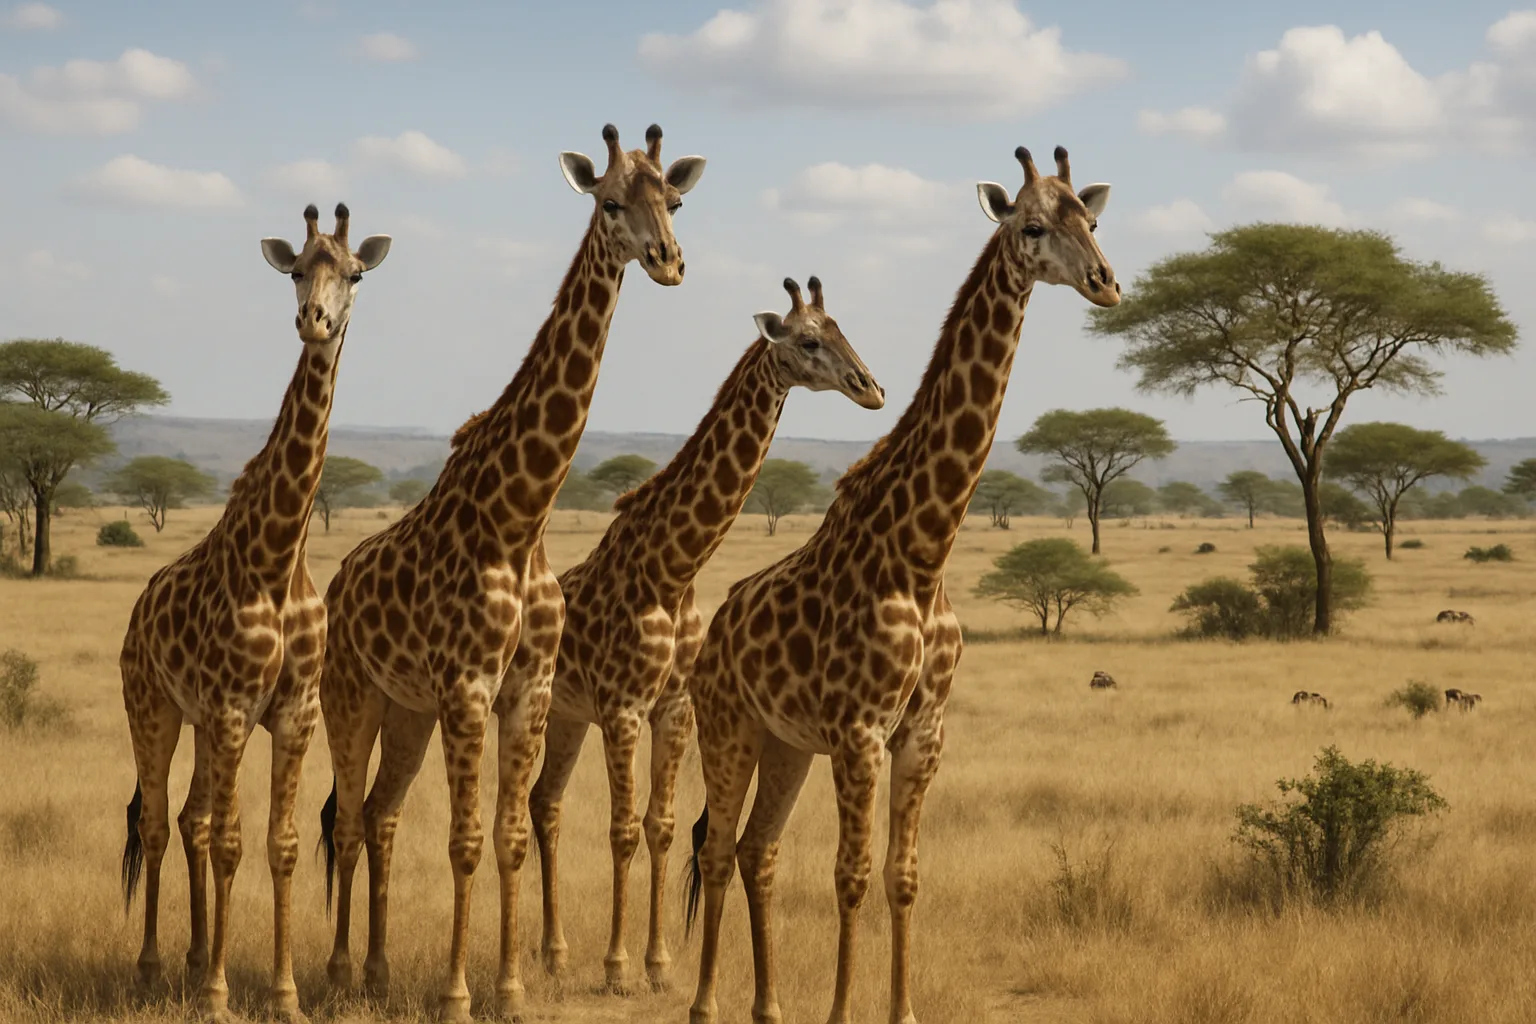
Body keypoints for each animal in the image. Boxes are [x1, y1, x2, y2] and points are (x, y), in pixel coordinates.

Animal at [118, 203, 391, 1023]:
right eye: (297, 269)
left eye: (355, 274)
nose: (314, 321)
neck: (276, 557)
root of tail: (138, 610)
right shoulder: (235, 707)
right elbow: (233, 842)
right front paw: (215, 995)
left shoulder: (294, 711)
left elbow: (281, 844)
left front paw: (283, 991)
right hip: (153, 705)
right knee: (159, 822)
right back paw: (152, 970)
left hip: (201, 720)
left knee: (190, 819)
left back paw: (191, 956)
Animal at [315, 123, 706, 1022]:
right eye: (610, 202)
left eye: (673, 200)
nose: (668, 262)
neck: (519, 518)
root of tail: (338, 583)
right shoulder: (468, 684)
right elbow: (464, 839)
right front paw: (459, 993)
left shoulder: (525, 687)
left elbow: (511, 833)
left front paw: (514, 984)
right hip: (350, 694)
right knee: (347, 818)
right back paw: (340, 972)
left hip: (407, 707)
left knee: (381, 814)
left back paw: (379, 972)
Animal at [521, 275, 885, 993]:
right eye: (808, 341)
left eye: (843, 329)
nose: (871, 387)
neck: (673, 570)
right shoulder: (624, 706)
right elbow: (622, 828)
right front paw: (617, 967)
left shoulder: (675, 706)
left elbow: (659, 826)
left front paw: (659, 964)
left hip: (569, 715)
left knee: (546, 803)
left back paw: (555, 951)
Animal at [682, 144, 1120, 1024]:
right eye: (1031, 226)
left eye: (1091, 218)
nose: (1105, 282)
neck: (923, 554)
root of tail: (714, 634)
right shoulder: (860, 731)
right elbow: (850, 876)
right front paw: (841, 1013)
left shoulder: (924, 731)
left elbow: (903, 876)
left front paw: (902, 1010)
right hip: (728, 725)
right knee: (715, 849)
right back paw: (706, 1005)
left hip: (786, 743)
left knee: (757, 848)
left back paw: (767, 1007)